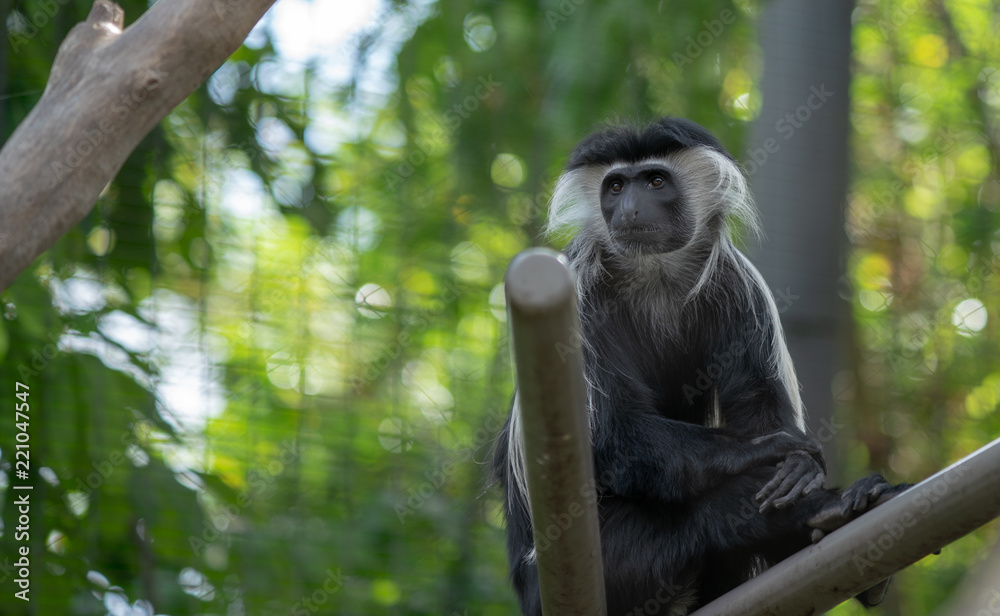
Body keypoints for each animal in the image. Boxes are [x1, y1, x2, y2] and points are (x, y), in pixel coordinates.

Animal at [492, 117, 906, 616]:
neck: (655, 272)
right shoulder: (581, 294)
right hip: (609, 561)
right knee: (709, 513)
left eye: (655, 181)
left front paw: (791, 461)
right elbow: (613, 428)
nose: (628, 209)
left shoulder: (738, 288)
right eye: (615, 186)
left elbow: (756, 401)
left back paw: (853, 511)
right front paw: (772, 451)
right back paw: (828, 508)